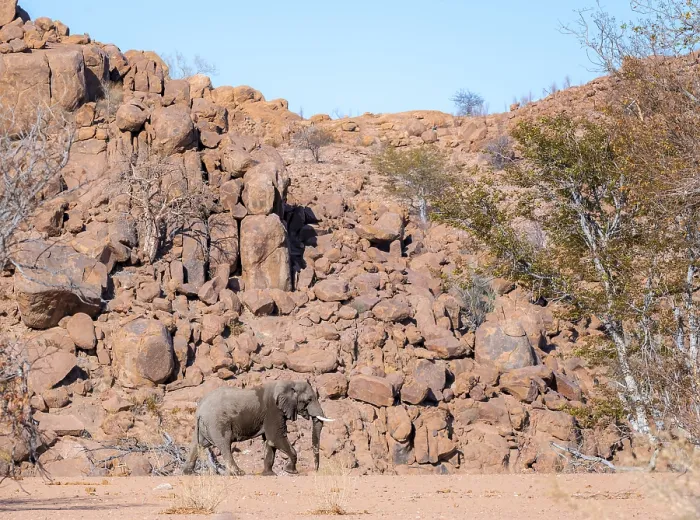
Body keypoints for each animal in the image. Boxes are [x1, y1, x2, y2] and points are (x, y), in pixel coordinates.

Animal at [182, 380, 333, 476]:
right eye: (309, 400)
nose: (316, 470)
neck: (289, 383)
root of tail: (199, 410)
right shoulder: (273, 410)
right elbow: (275, 438)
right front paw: (291, 471)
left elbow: (269, 441)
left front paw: (269, 474)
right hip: (217, 423)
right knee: (224, 445)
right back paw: (238, 473)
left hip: (204, 426)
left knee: (198, 445)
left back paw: (188, 473)